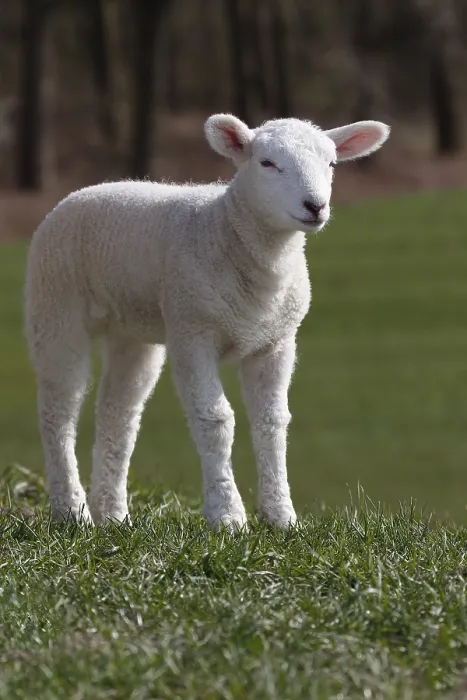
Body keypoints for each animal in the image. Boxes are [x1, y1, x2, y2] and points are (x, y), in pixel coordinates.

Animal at [24, 113, 390, 531]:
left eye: (331, 164)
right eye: (266, 163)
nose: (315, 206)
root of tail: (84, 191)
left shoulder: (277, 342)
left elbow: (272, 422)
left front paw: (281, 517)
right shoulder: (193, 331)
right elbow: (215, 419)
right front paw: (227, 516)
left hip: (132, 330)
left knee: (119, 413)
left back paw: (113, 515)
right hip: (54, 306)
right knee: (58, 409)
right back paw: (72, 511)